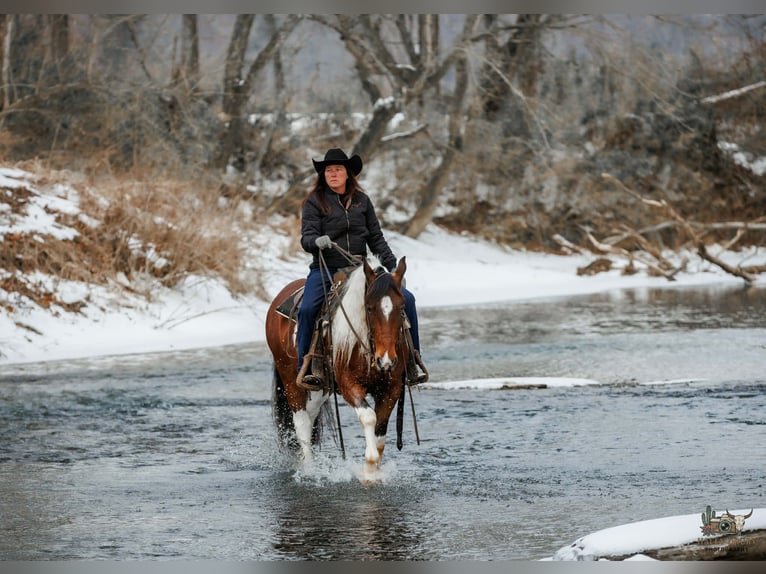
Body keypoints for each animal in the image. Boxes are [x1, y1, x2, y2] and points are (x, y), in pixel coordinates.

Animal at [265, 255, 410, 480]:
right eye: (369, 308)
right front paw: (369, 469)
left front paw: (375, 472)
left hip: (320, 388)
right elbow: (369, 417)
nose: (386, 360)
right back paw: (309, 470)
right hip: (290, 380)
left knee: (311, 416)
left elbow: (380, 432)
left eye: (402, 307)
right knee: (302, 422)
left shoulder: (390, 389)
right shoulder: (349, 384)